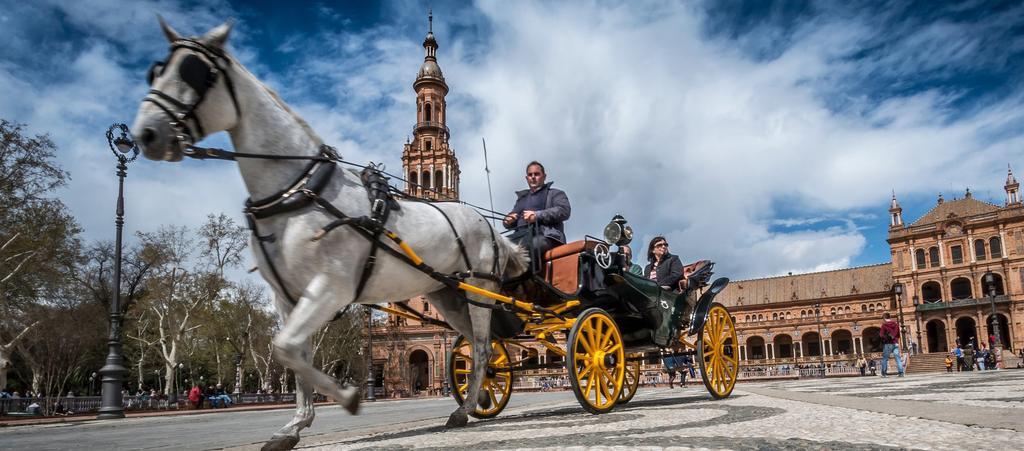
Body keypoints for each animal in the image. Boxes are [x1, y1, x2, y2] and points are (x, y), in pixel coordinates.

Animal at [130, 19, 528, 448]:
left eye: (193, 72)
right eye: (155, 71)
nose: (146, 133)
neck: (299, 190)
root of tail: (487, 226)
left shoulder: (330, 287)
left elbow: (288, 349)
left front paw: (347, 397)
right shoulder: (289, 298)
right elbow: (293, 353)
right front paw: (295, 424)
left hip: (478, 289)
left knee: (484, 347)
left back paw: (465, 407)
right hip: (448, 295)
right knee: (478, 346)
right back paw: (477, 399)